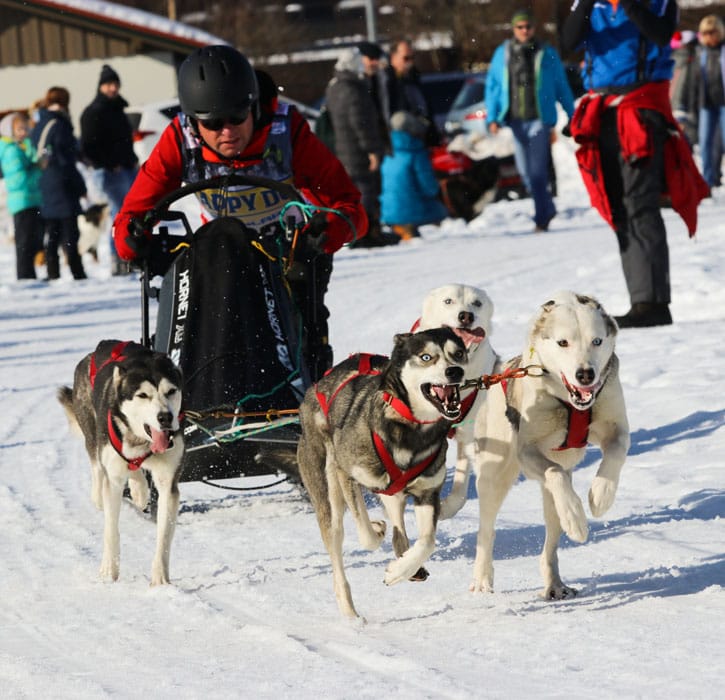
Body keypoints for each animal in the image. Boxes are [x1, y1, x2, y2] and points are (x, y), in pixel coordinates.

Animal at [59, 340, 184, 584]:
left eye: (171, 391)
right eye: (143, 395)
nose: (165, 417)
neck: (143, 442)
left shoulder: (168, 483)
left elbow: (163, 537)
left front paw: (160, 580)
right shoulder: (114, 480)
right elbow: (111, 531)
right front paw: (109, 571)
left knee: (134, 468)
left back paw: (139, 490)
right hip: (94, 441)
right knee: (100, 475)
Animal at [296, 330, 466, 616]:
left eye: (459, 353)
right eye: (426, 357)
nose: (455, 371)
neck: (410, 427)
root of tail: (315, 387)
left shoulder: (427, 492)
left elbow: (427, 541)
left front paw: (401, 569)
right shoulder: (346, 472)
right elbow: (366, 536)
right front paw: (376, 530)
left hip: (393, 494)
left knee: (399, 532)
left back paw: (407, 565)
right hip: (328, 492)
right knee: (338, 543)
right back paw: (351, 613)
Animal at [412, 284, 498, 520]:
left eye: (477, 303)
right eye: (448, 301)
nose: (466, 316)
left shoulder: (467, 434)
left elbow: (459, 488)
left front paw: (445, 509)